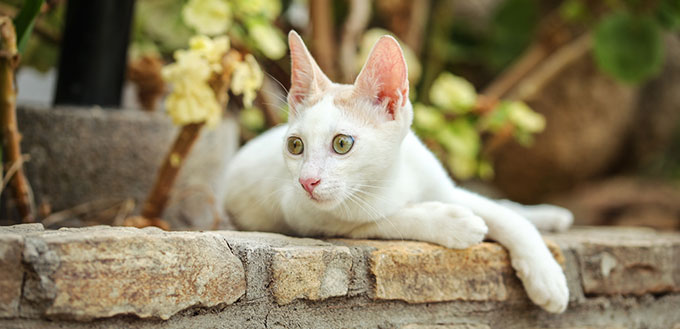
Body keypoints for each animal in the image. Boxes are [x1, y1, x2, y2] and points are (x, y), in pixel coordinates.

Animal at [224, 31, 572, 312]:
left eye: (342, 143)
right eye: (295, 146)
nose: (307, 181)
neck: (389, 179)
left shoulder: (440, 185)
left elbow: (508, 218)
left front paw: (547, 276)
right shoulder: (303, 215)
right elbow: (386, 219)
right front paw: (453, 223)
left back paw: (549, 215)